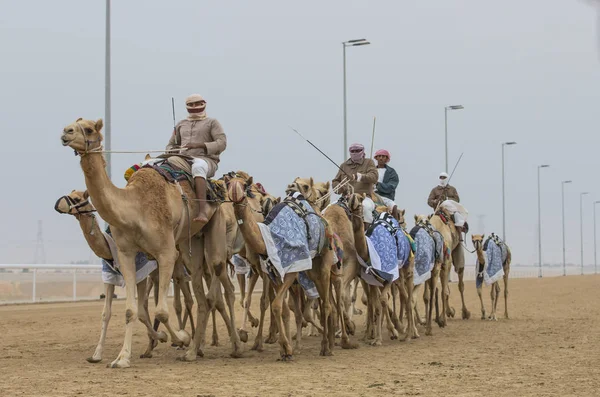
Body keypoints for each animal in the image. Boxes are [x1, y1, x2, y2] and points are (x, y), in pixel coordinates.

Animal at [59, 117, 241, 368]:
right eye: (73, 124)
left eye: (88, 128)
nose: (65, 133)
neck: (134, 208)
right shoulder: (127, 255)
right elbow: (130, 310)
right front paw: (122, 358)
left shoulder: (165, 253)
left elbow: (161, 311)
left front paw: (179, 337)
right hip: (191, 244)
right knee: (201, 295)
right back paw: (193, 352)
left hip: (216, 230)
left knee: (224, 286)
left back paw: (234, 346)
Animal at [227, 175, 336, 360]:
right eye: (228, 185)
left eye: (245, 186)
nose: (235, 193)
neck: (268, 237)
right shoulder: (274, 274)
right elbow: (282, 308)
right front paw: (285, 349)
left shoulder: (291, 269)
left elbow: (277, 305)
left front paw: (285, 347)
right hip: (311, 269)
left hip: (324, 263)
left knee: (327, 304)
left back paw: (327, 347)